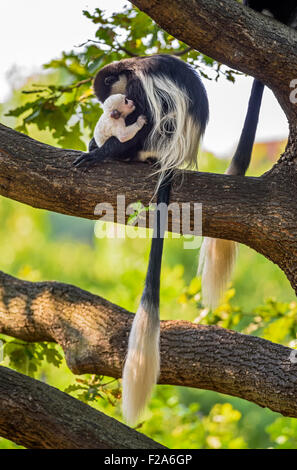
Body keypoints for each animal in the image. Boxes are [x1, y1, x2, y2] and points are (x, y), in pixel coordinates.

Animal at [74, 53, 208, 424]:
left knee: (152, 127)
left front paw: (100, 150)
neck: (132, 67)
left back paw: (113, 152)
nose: (117, 108)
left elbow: (145, 117)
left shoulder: (140, 89)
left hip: (156, 140)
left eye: (112, 93)